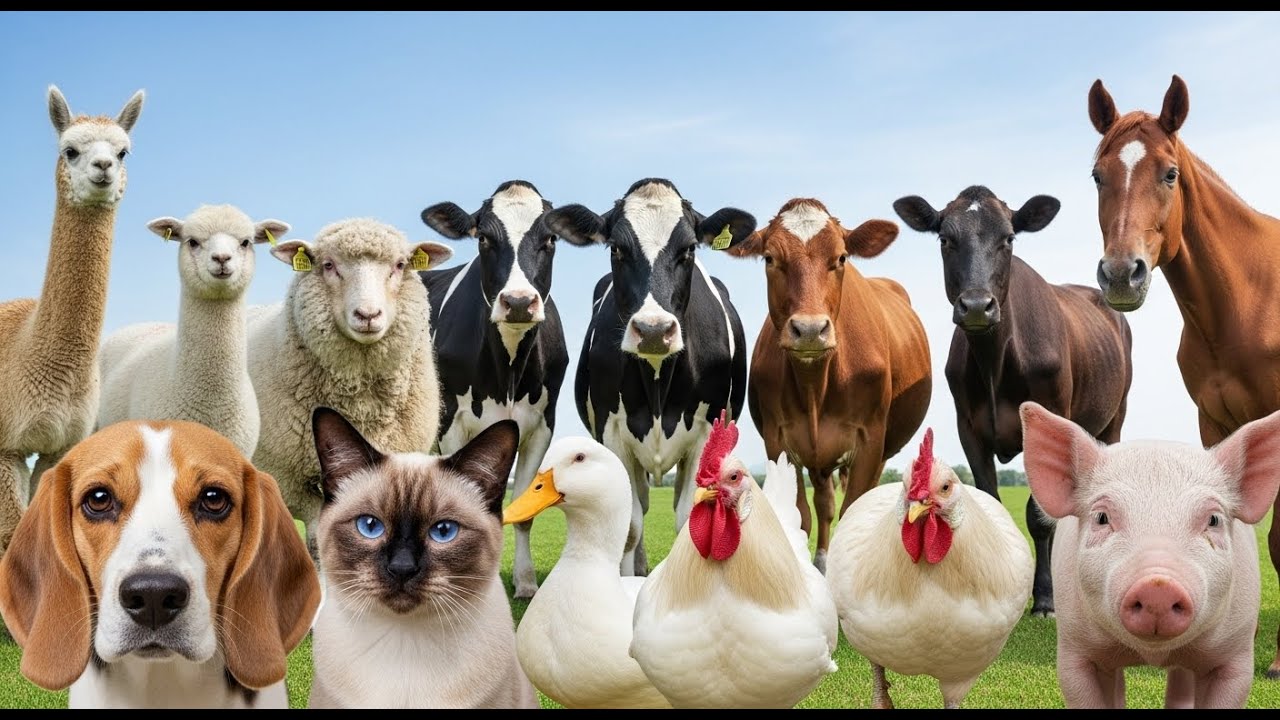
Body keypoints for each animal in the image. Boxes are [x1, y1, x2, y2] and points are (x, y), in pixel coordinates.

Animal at [247, 218, 452, 558]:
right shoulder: (290, 480)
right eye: (328, 265)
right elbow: (319, 540)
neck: (360, 402)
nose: (368, 315)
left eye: (399, 265)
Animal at [421, 180, 569, 599]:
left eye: (551, 238)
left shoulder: (541, 427)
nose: (518, 301)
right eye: (483, 238)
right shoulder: (450, 425)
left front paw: (525, 582)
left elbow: (521, 509)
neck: (508, 374)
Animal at [545, 178, 752, 576]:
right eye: (616, 248)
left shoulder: (707, 430)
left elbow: (690, 516)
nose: (654, 330)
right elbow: (629, 524)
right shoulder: (612, 432)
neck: (657, 378)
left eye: (689, 248)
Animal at [727, 199, 932, 572]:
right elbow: (802, 515)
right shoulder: (779, 440)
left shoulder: (870, 440)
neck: (815, 386)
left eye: (841, 258)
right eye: (769, 258)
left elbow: (852, 510)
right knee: (823, 504)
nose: (809, 329)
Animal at [893, 185, 1133, 615]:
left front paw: (1045, 598)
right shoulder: (969, 428)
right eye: (945, 238)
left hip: (1114, 419)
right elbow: (991, 503)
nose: (976, 305)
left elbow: (1039, 517)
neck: (995, 362)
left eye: (1008, 239)